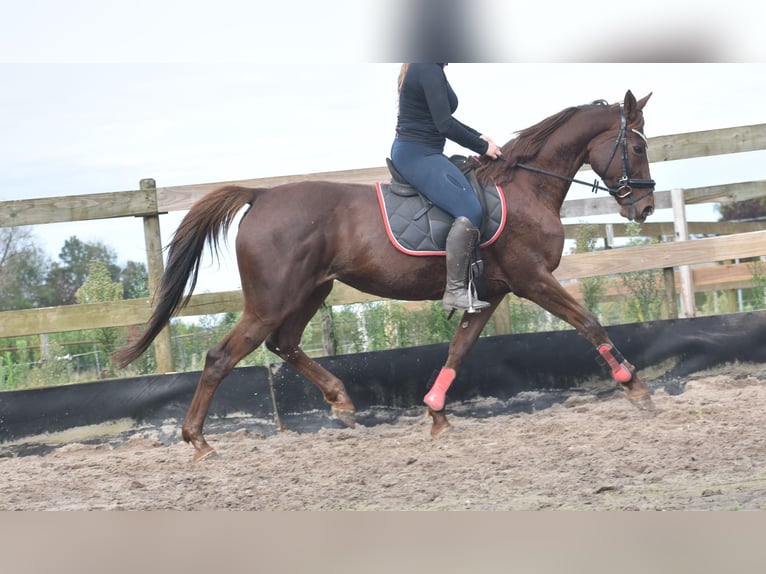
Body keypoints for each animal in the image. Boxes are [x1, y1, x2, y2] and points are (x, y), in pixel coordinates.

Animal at [114, 89, 660, 464]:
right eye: (636, 147)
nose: (646, 207)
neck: (525, 187)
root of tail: (262, 196)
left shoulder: (491, 292)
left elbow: (459, 349)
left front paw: (436, 413)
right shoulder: (532, 279)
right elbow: (588, 322)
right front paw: (634, 386)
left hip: (311, 291)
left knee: (283, 344)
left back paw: (341, 402)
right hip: (271, 300)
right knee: (221, 357)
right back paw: (199, 442)